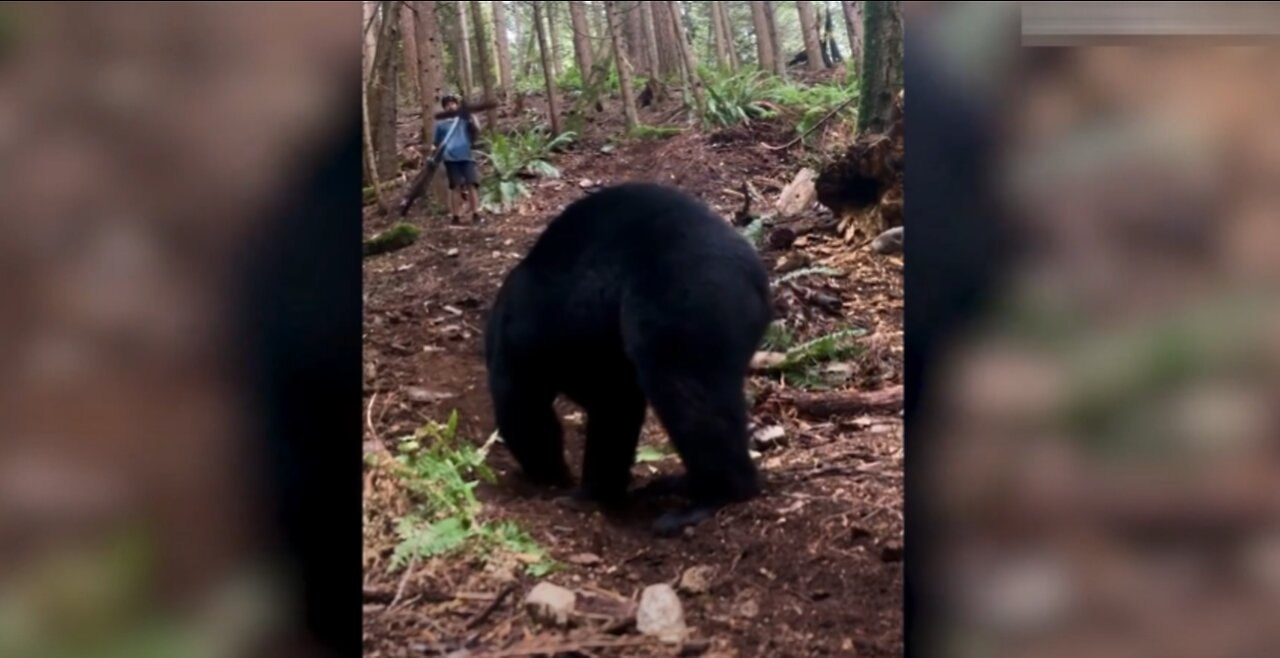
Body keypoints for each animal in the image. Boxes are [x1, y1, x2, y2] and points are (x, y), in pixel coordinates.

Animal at [483, 180, 768, 532]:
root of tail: (756, 280)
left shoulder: (555, 347)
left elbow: (604, 404)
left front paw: (578, 489)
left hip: (683, 308)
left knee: (688, 397)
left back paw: (705, 498)